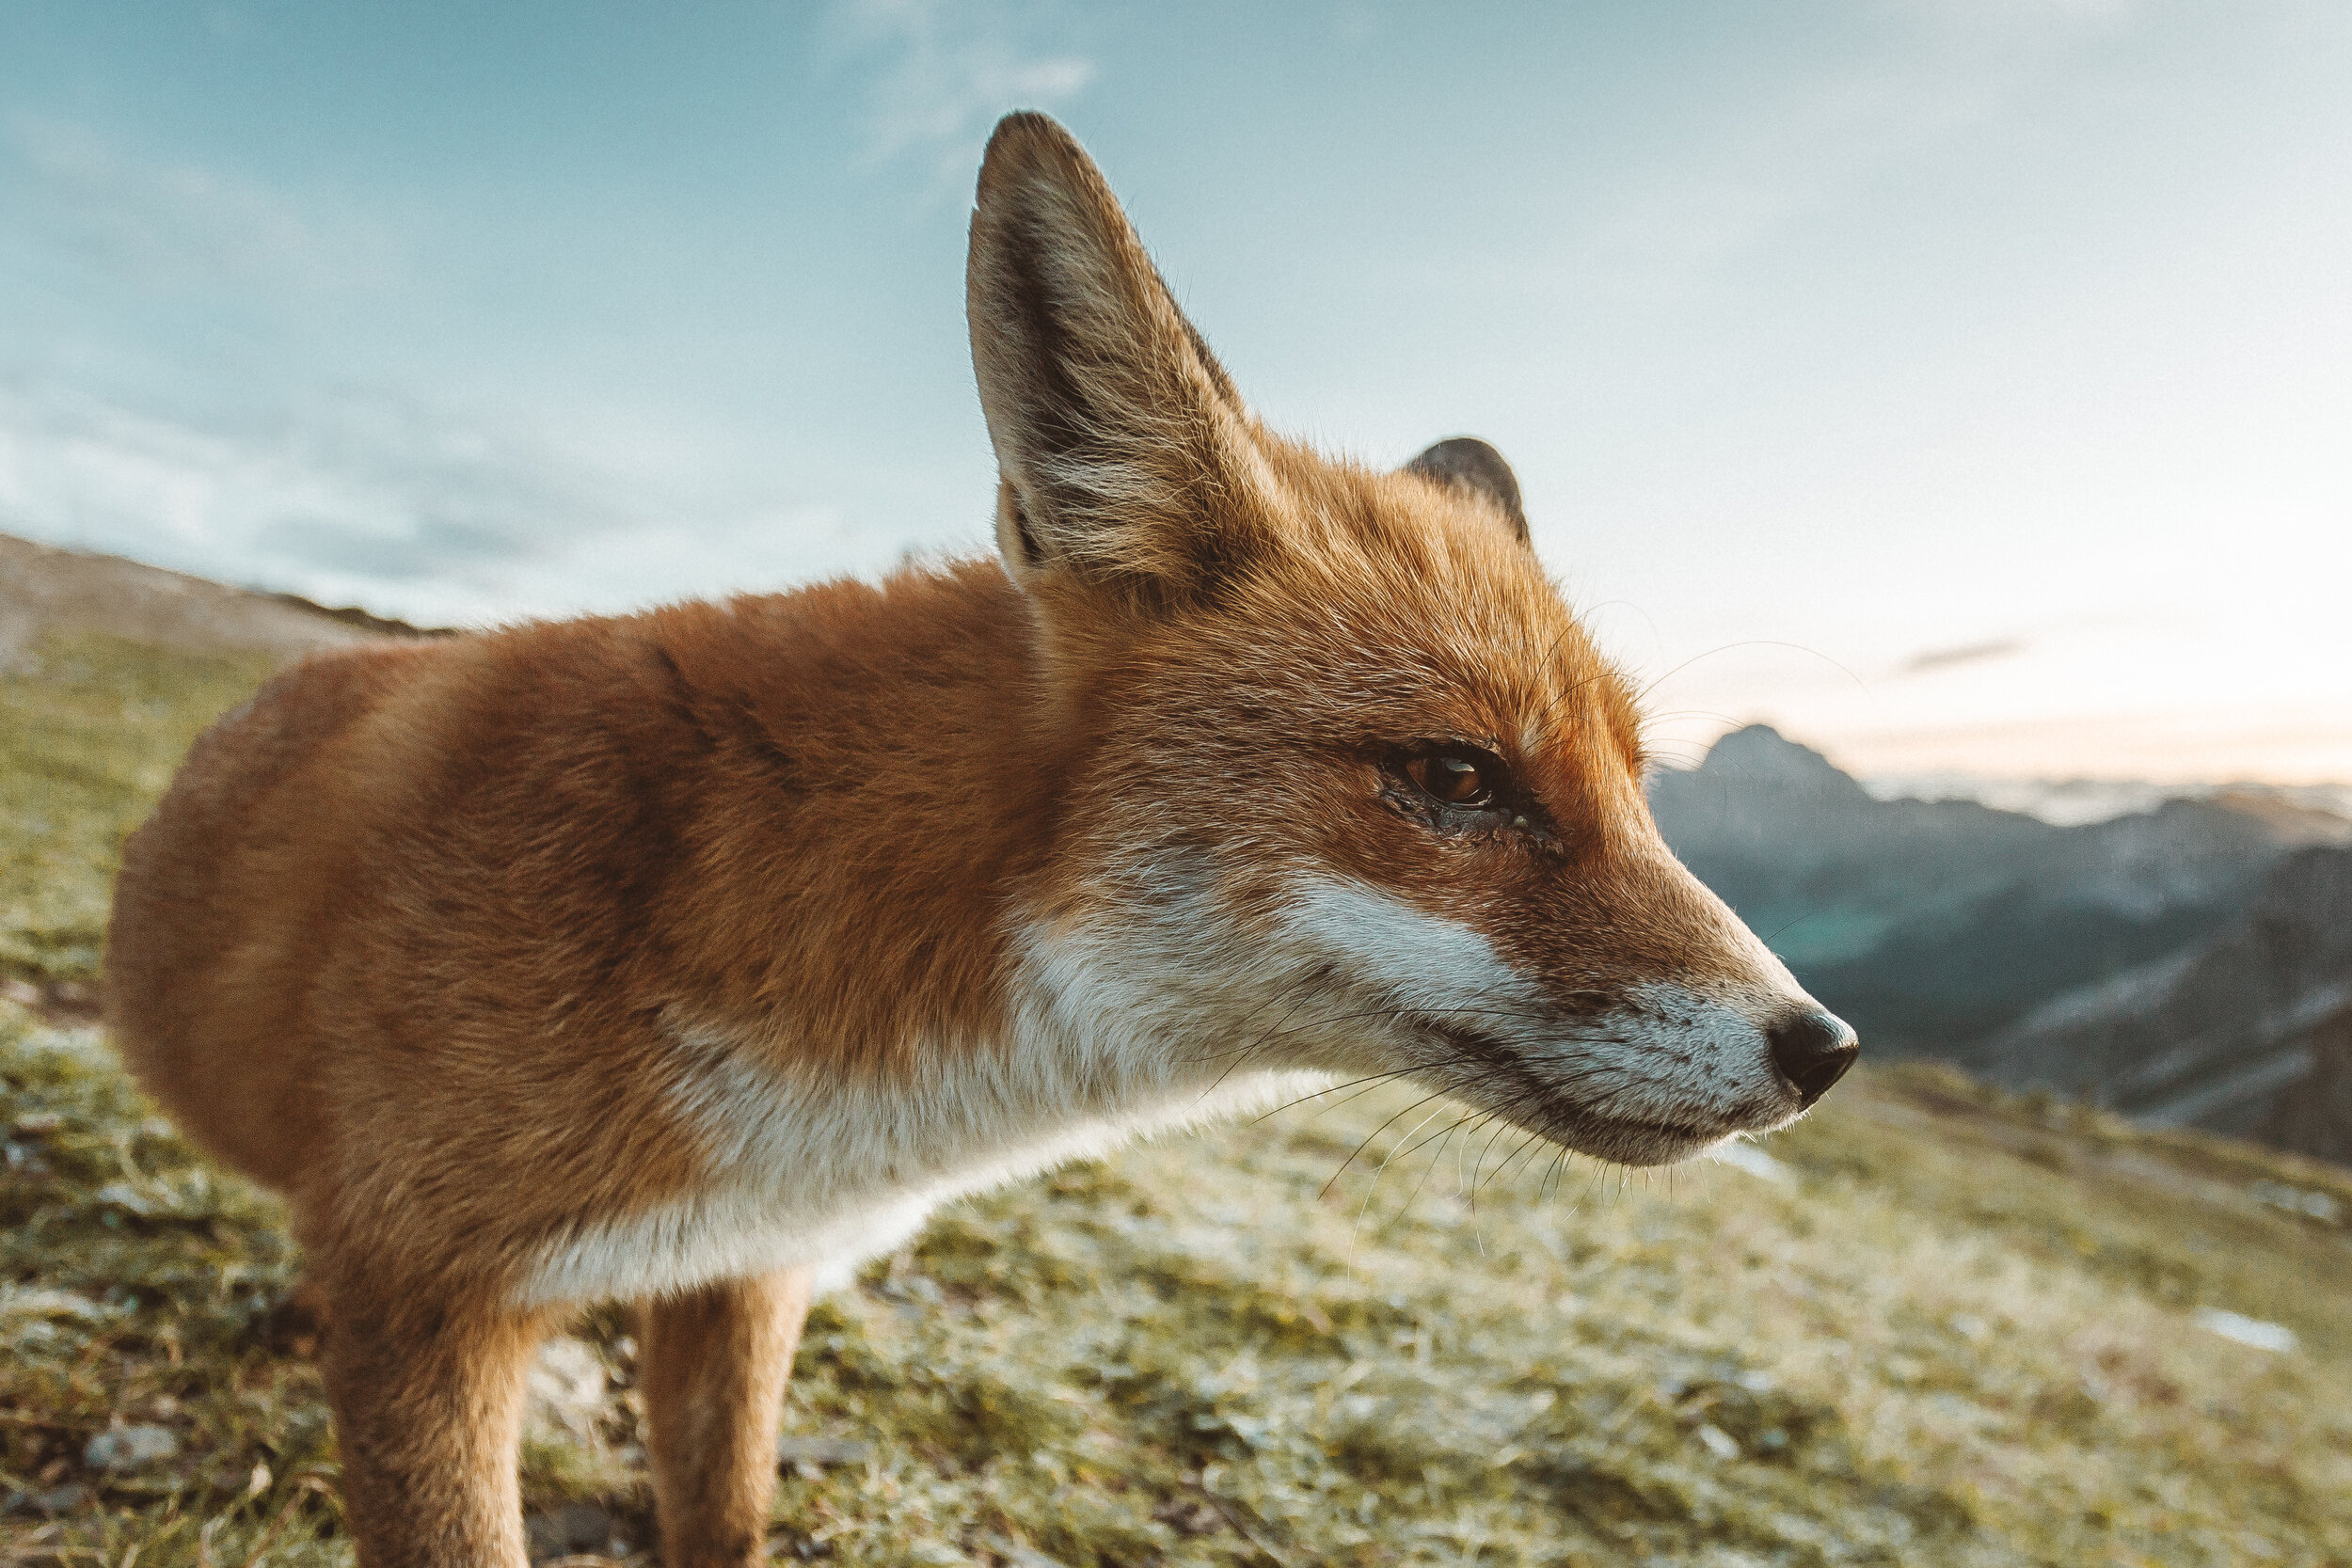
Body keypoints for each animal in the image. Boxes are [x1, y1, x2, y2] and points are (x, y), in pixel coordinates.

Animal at [105, 112, 1857, 1568]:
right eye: (1458, 778)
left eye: (1639, 784)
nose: (1823, 1045)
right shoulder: (432, 1295)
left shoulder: (740, 1274)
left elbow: (727, 1521)